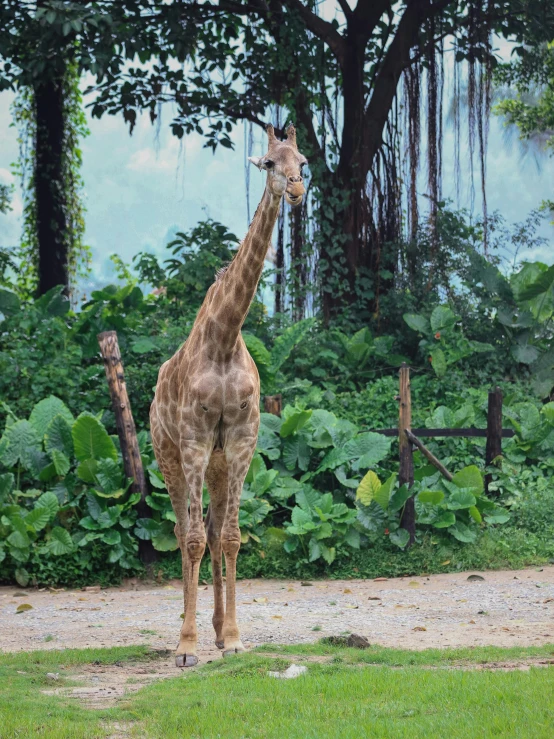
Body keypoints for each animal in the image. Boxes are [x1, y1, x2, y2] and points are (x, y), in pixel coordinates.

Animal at [149, 124, 308, 668]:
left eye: (304, 160)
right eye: (269, 163)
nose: (297, 189)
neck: (224, 337)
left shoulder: (239, 443)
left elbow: (233, 537)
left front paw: (234, 637)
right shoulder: (195, 442)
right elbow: (195, 539)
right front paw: (187, 647)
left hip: (217, 467)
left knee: (216, 533)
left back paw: (216, 630)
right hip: (169, 458)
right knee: (184, 534)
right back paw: (188, 632)